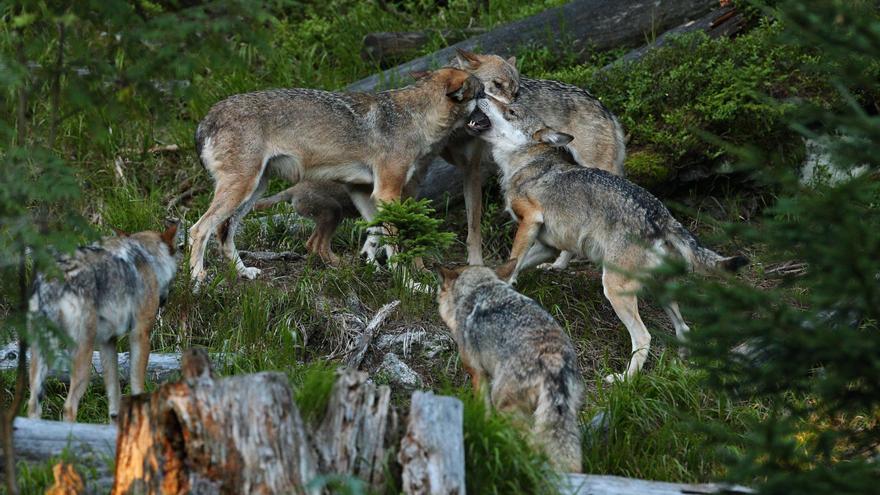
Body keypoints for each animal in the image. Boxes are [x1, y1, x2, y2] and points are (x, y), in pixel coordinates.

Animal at [27, 224, 179, 422]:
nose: (164, 300)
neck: (146, 256)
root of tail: (54, 277)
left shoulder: (107, 342)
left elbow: (114, 395)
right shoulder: (140, 334)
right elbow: (137, 385)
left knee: (33, 406)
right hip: (83, 357)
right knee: (69, 407)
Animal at [189, 68, 482, 283]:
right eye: (483, 94)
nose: (494, 104)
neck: (415, 118)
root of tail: (206, 119)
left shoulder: (363, 191)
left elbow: (375, 233)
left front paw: (368, 265)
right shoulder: (387, 192)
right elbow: (394, 244)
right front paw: (410, 283)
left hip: (254, 190)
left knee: (223, 232)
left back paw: (243, 272)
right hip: (242, 190)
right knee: (198, 229)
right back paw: (197, 279)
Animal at [438, 261, 584, 473]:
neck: (479, 287)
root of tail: (553, 359)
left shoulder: (477, 373)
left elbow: (483, 409)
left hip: (504, 405)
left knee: (532, 443)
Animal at [448, 49, 626, 268]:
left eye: (516, 93)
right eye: (497, 85)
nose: (517, 109)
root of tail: (604, 108)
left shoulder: (473, 171)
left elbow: (474, 229)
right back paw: (558, 265)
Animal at [466, 98, 748, 382]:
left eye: (510, 110)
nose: (481, 94)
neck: (525, 163)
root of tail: (661, 216)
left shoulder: (531, 221)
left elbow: (513, 259)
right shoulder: (548, 245)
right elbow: (513, 264)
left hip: (614, 289)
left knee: (644, 337)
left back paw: (624, 380)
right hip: (659, 291)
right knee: (684, 328)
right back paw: (683, 363)